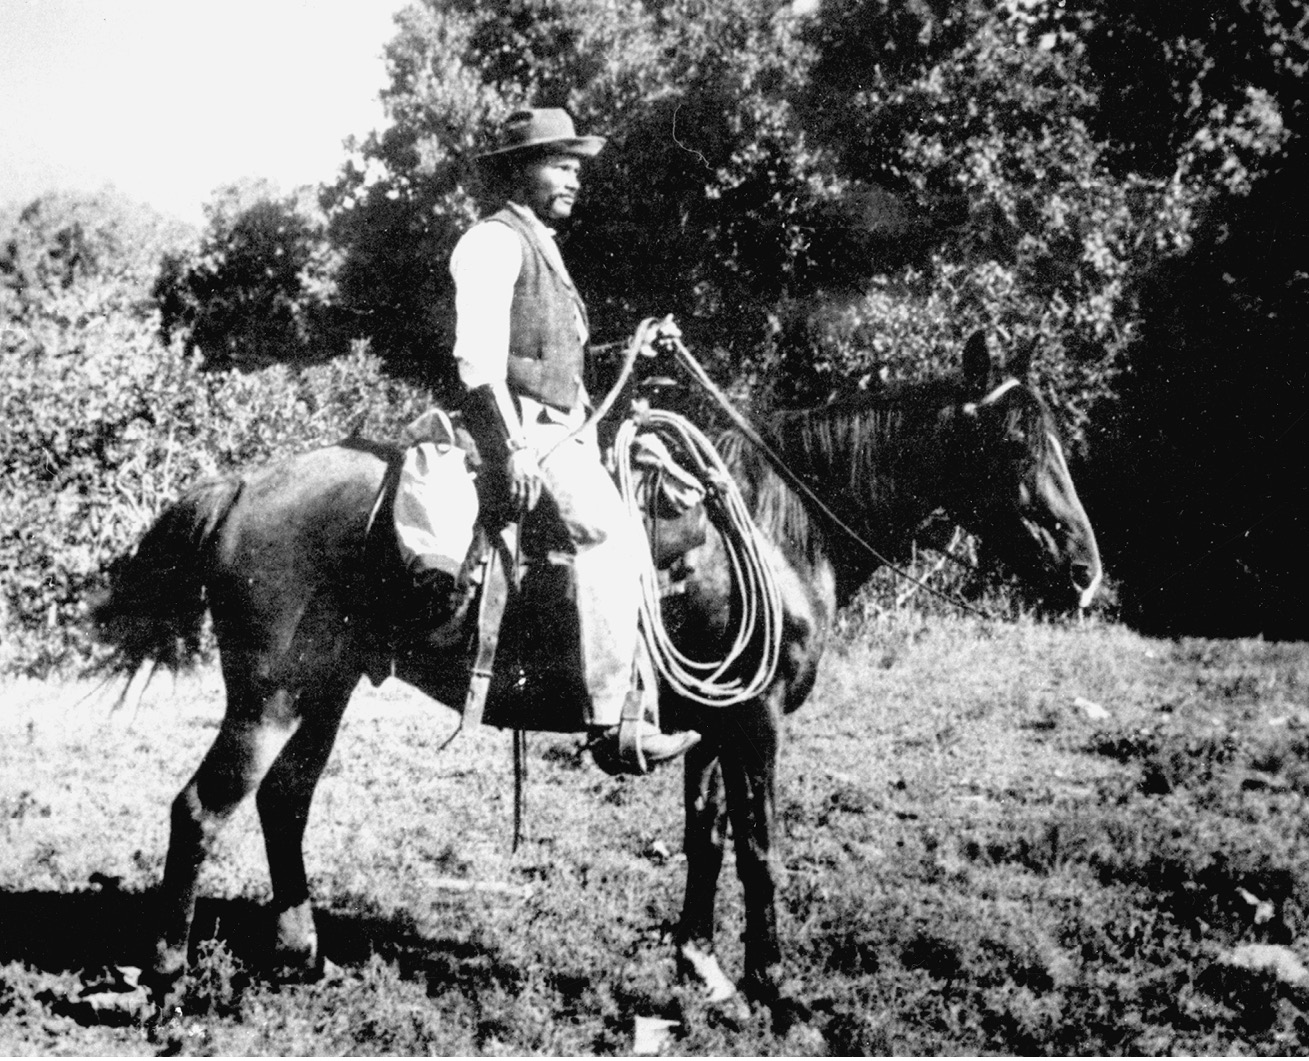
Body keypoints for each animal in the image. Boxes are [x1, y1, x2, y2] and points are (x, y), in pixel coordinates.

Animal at [92, 329, 1094, 1020]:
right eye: (1013, 445)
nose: (1084, 571)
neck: (777, 529)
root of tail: (243, 485)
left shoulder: (714, 720)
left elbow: (706, 836)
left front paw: (701, 966)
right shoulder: (759, 719)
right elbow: (762, 848)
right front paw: (777, 989)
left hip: (325, 690)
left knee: (283, 801)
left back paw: (304, 952)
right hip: (268, 697)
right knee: (202, 808)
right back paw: (168, 978)